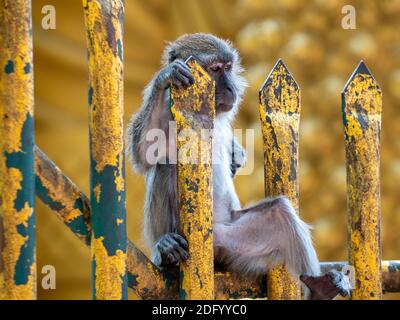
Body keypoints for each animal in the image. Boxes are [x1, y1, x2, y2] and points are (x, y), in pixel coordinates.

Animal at [128, 33, 350, 298]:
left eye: (228, 67)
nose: (231, 88)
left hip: (232, 244)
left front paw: (237, 154)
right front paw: (165, 78)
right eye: (215, 69)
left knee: (279, 213)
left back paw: (319, 288)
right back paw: (165, 249)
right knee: (165, 165)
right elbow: (145, 153)